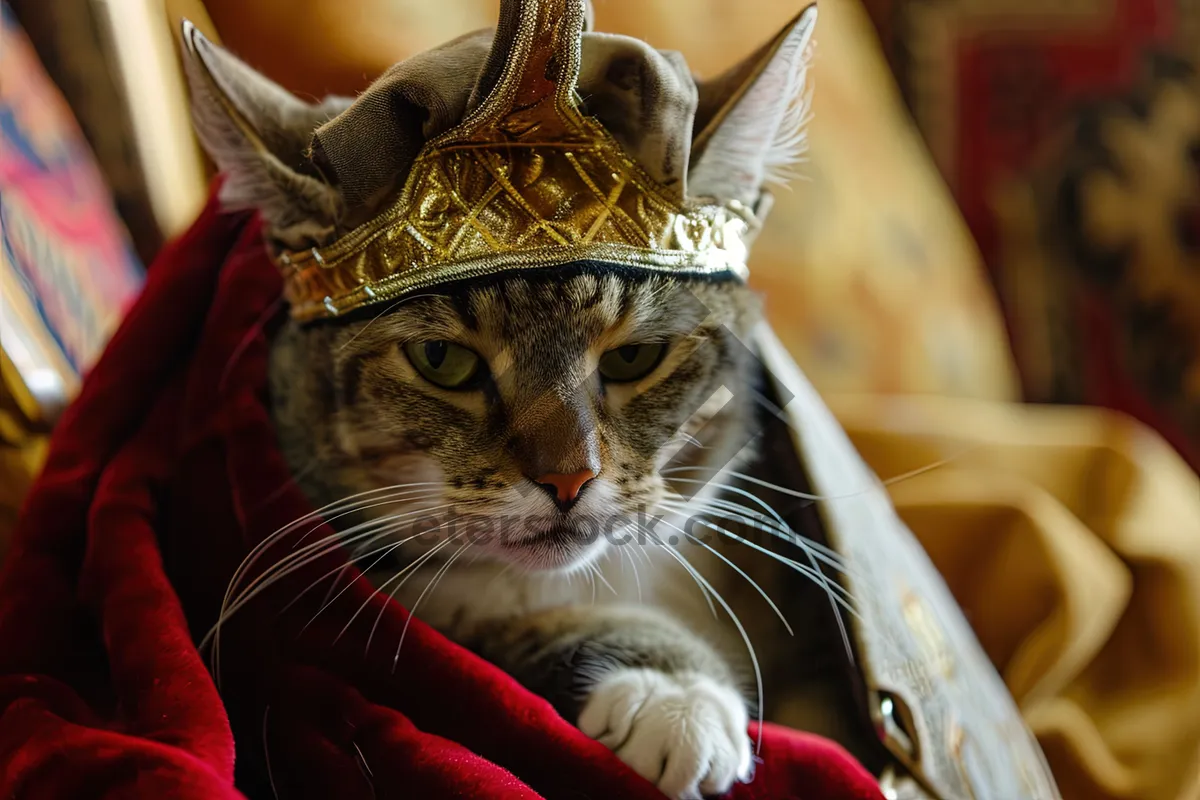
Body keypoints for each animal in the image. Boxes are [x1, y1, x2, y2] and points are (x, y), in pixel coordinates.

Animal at [180, 3, 873, 796]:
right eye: (442, 360)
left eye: (634, 356)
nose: (568, 480)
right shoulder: (401, 618)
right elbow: (479, 648)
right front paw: (674, 692)